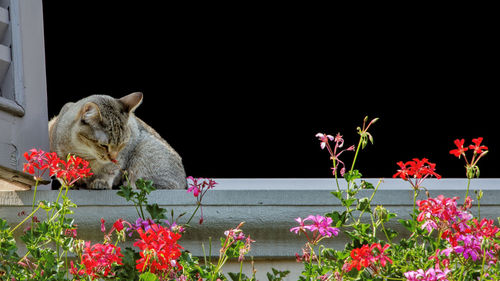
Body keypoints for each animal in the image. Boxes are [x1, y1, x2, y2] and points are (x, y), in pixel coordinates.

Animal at [47, 93, 188, 189]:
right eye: (103, 145)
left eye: (122, 145)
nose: (113, 157)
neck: (83, 153)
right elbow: (62, 172)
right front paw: (71, 184)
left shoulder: (123, 153)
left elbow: (109, 170)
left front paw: (102, 181)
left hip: (146, 150)